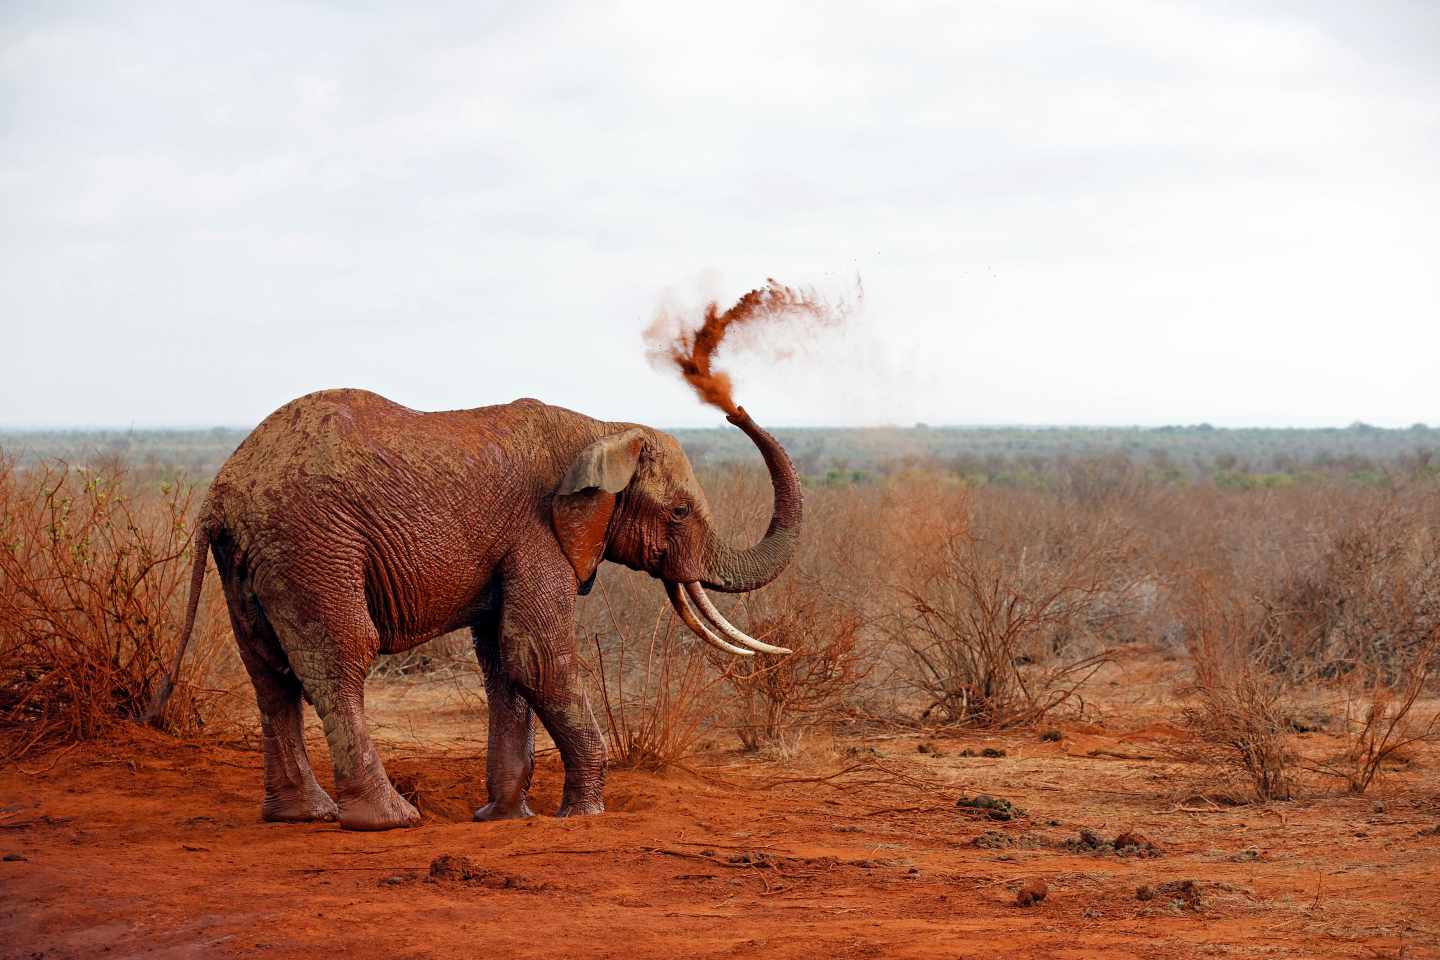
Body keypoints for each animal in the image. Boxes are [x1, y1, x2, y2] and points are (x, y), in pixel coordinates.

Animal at [147, 388, 801, 831]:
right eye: (680, 514)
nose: (733, 408)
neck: (600, 427)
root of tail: (220, 490)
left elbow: (505, 663)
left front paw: (505, 816)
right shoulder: (537, 533)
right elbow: (536, 657)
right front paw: (582, 815)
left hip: (251, 560)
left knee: (269, 675)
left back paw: (302, 814)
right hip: (312, 546)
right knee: (339, 662)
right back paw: (391, 819)